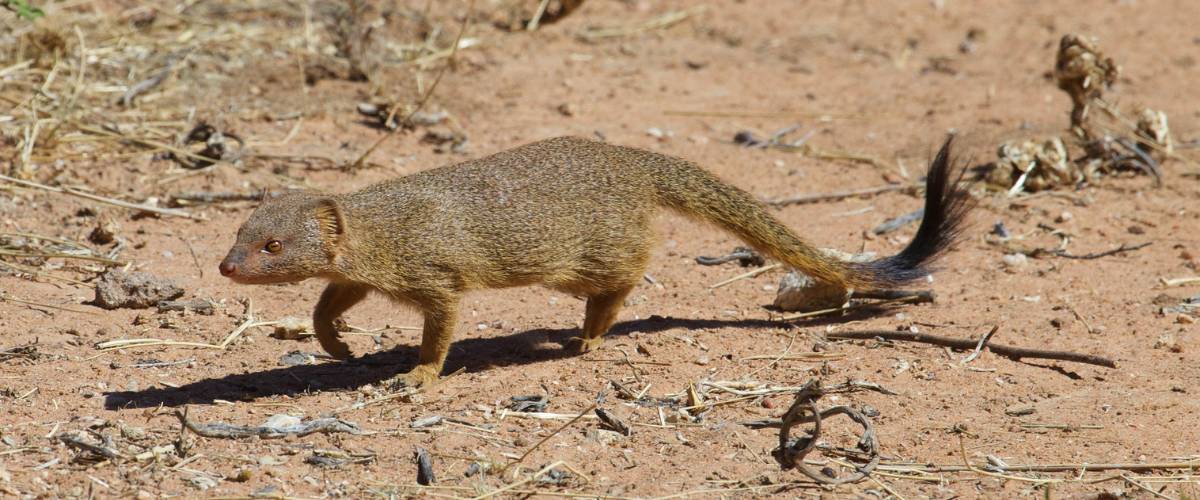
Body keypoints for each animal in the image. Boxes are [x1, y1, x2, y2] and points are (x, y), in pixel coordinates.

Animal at [219, 135, 972, 388]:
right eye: (240, 233)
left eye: (273, 246)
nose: (226, 268)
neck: (382, 227)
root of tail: (636, 161)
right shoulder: (360, 274)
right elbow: (329, 301)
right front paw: (336, 345)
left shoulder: (436, 274)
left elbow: (442, 326)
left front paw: (419, 374)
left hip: (587, 253)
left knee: (628, 276)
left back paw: (590, 335)